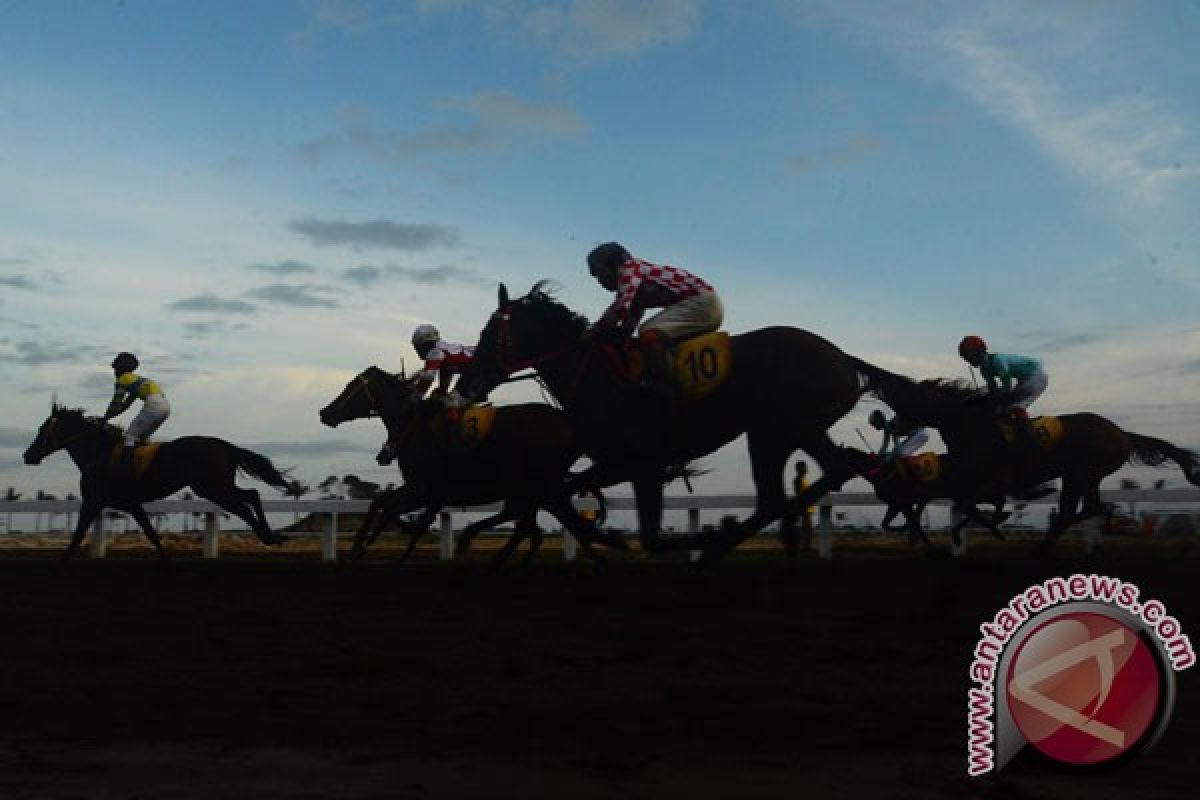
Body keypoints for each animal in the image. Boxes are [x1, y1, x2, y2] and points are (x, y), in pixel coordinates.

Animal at [23, 402, 290, 561]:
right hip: (219, 486)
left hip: (212, 488)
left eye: (40, 429)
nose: (27, 455)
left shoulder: (93, 501)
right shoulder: (130, 504)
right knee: (252, 494)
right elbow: (151, 533)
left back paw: (268, 537)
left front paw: (62, 561)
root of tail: (225, 445)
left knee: (244, 506)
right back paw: (273, 537)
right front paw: (166, 558)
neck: (98, 453)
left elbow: (78, 534)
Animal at [319, 367, 619, 566]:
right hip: (534, 487)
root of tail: (569, 422)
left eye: (350, 387)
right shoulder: (420, 489)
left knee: (546, 524)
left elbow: (391, 508)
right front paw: (359, 547)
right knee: (536, 527)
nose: (325, 413)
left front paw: (373, 543)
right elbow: (379, 502)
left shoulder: (425, 490)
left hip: (538, 484)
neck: (414, 425)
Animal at [458, 281, 873, 563]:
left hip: (790, 424)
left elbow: (651, 537)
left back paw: (724, 543)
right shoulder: (615, 464)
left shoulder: (645, 465)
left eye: (487, 333)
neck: (599, 380)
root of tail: (844, 359)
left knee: (831, 471)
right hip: (771, 435)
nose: (466, 385)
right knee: (778, 498)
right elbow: (552, 493)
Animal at [854, 362, 1200, 554]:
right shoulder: (967, 482)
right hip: (1080, 475)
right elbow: (967, 505)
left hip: (1082, 472)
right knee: (1087, 508)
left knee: (1080, 510)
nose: (892, 424)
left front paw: (999, 523)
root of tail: (1123, 434)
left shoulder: (994, 480)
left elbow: (979, 504)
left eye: (911, 401)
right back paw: (1048, 545)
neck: (971, 425)